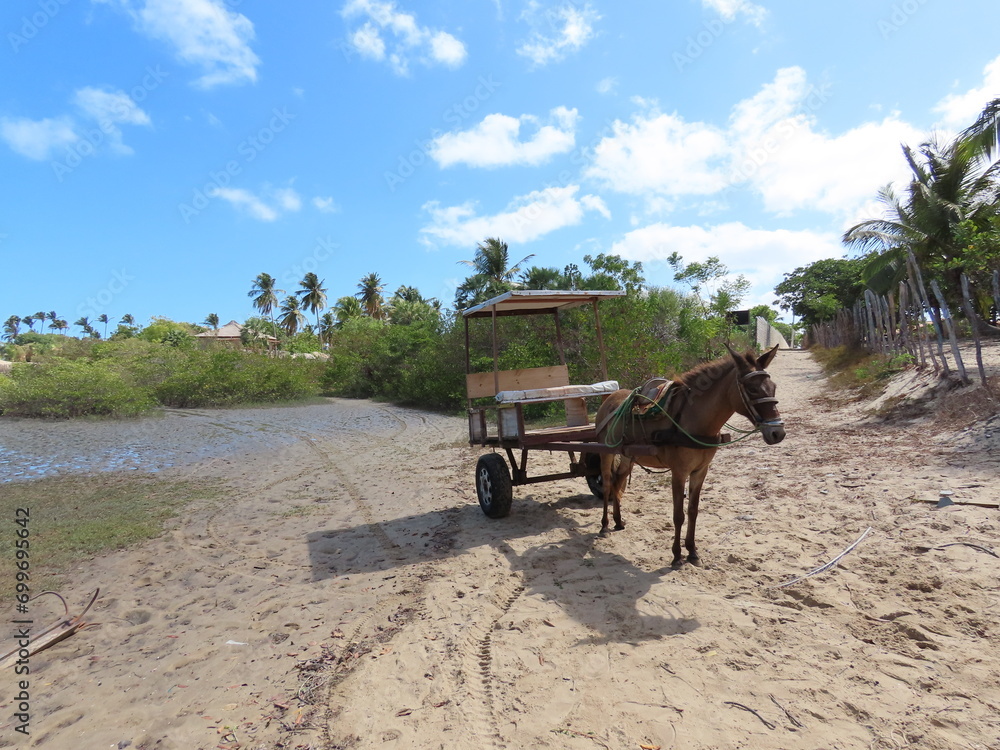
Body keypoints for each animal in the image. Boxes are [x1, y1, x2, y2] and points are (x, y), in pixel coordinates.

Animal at [592, 344, 785, 567]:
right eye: (752, 388)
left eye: (773, 387)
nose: (778, 433)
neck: (694, 420)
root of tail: (609, 399)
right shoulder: (679, 472)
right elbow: (678, 515)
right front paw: (676, 555)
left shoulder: (700, 471)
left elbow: (693, 511)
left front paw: (692, 551)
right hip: (606, 452)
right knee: (608, 485)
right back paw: (605, 525)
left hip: (627, 456)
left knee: (618, 482)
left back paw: (617, 521)